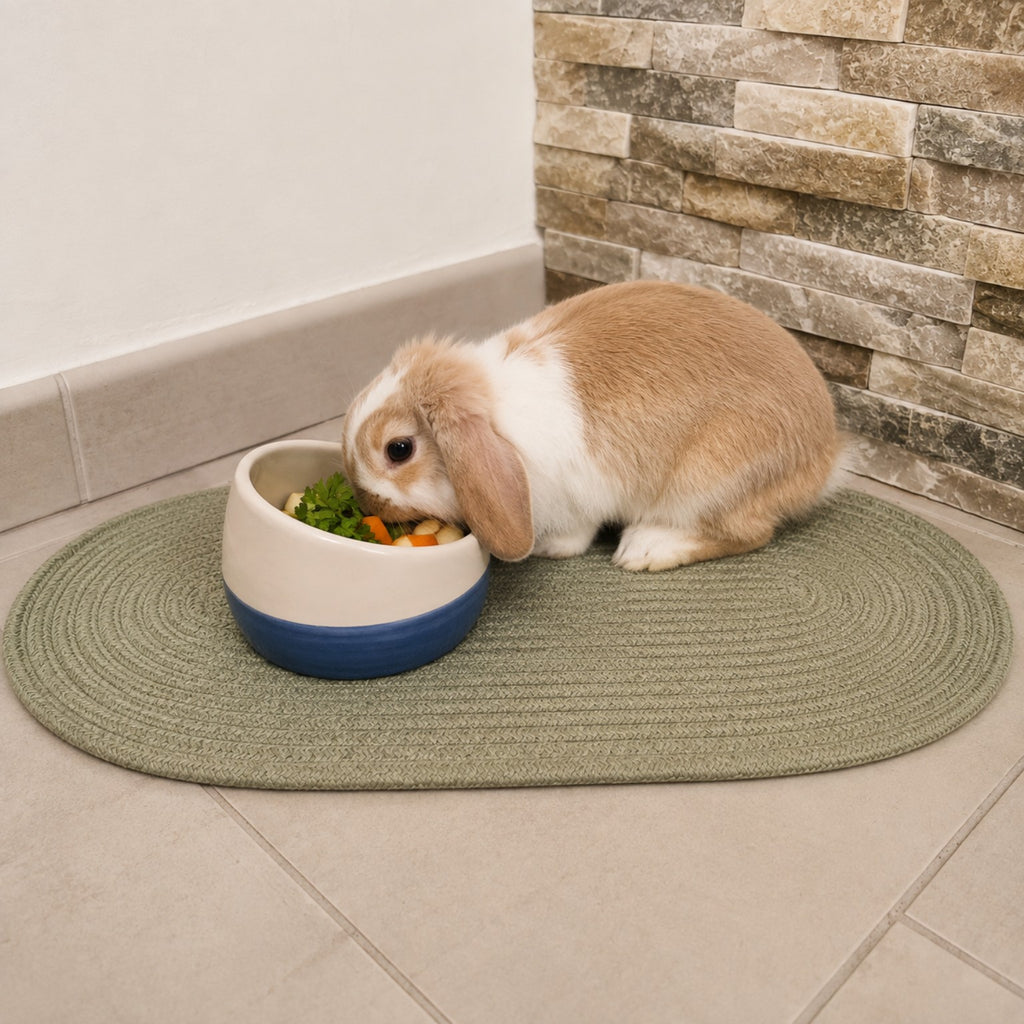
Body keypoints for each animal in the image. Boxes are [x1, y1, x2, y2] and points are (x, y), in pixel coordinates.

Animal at [341, 280, 840, 571]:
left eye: (399, 449)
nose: (367, 502)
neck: (500, 424)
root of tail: (825, 459)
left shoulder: (577, 492)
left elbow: (577, 533)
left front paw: (547, 548)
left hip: (709, 477)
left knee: (749, 533)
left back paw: (646, 549)